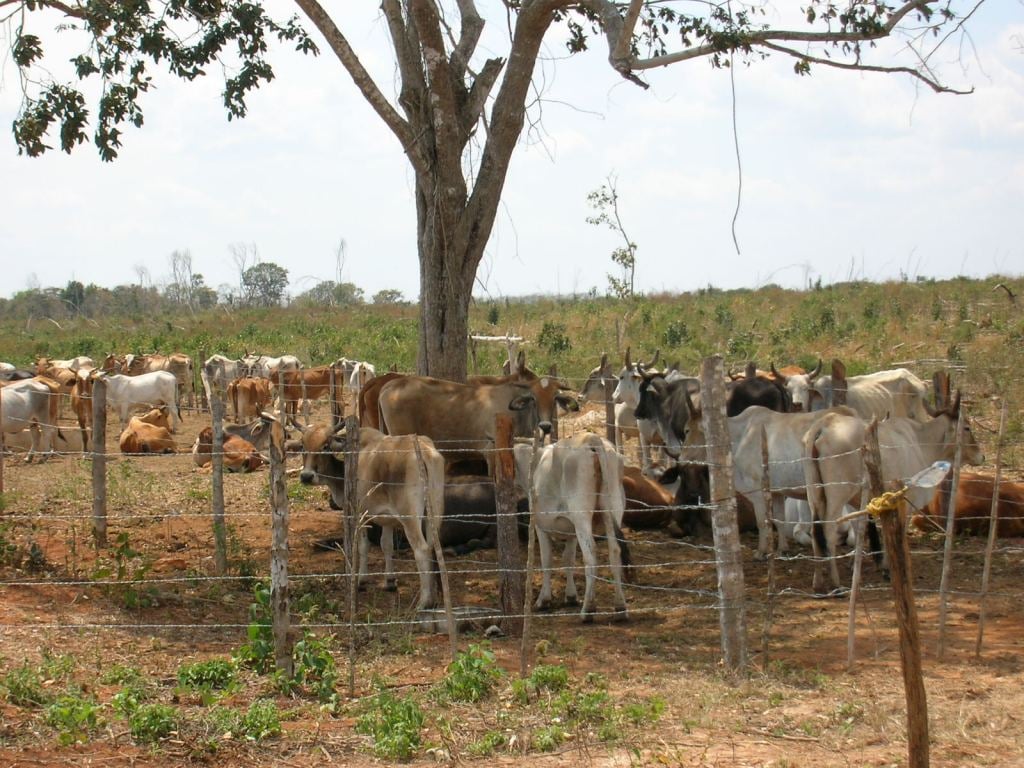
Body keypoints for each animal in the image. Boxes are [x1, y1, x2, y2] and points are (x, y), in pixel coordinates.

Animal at [516, 436, 626, 622]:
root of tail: (592, 438)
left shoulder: (540, 525)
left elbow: (547, 560)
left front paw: (543, 600)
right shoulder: (571, 531)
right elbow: (568, 559)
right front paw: (571, 596)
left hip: (581, 514)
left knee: (591, 555)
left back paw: (588, 610)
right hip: (611, 509)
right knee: (615, 551)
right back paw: (620, 607)